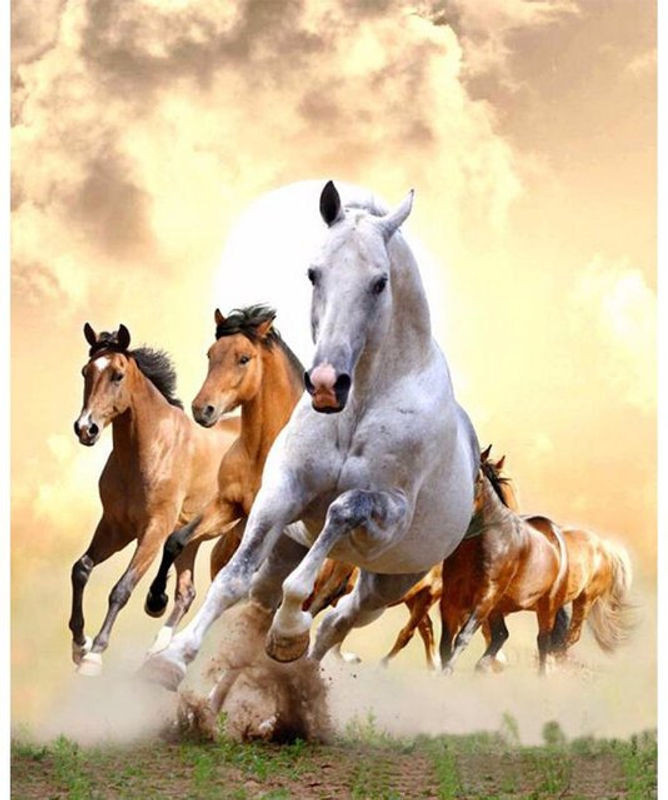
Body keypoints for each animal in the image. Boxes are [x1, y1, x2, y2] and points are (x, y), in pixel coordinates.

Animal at [70, 324, 238, 675]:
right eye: (85, 372)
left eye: (118, 375)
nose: (85, 429)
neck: (151, 448)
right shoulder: (115, 527)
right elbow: (81, 569)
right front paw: (80, 644)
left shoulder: (154, 530)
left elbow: (122, 588)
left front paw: (94, 655)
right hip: (195, 539)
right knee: (187, 591)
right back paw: (160, 648)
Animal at [144, 305, 306, 654]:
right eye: (211, 354)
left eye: (244, 358)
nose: (202, 409)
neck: (262, 452)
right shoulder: (227, 504)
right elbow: (176, 541)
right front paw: (155, 601)